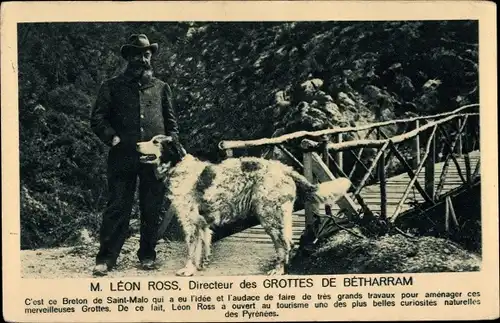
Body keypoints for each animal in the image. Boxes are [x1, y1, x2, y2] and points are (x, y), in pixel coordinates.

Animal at [135, 135, 350, 278]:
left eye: (155, 142)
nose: (136, 144)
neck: (178, 167)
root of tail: (285, 169)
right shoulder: (202, 223)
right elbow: (203, 245)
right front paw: (201, 265)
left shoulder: (190, 223)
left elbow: (191, 250)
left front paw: (188, 270)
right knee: (287, 243)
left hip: (269, 216)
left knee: (284, 244)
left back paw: (278, 270)